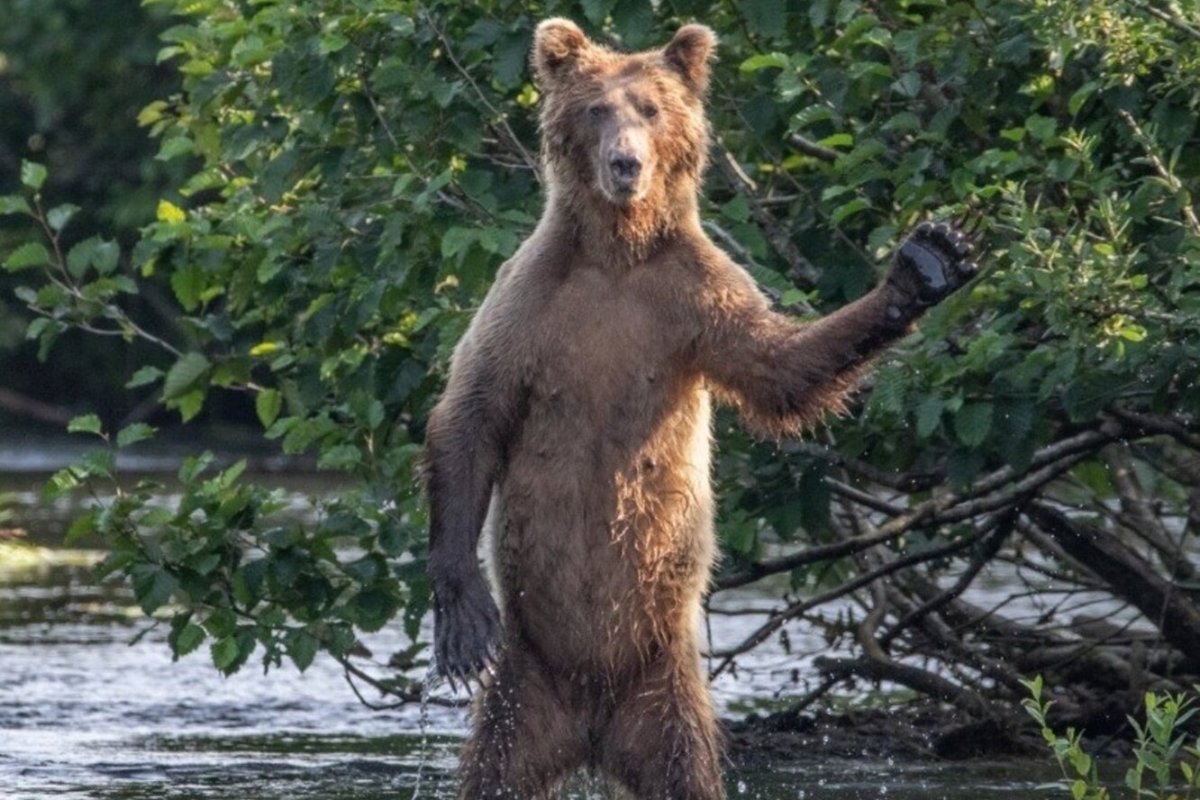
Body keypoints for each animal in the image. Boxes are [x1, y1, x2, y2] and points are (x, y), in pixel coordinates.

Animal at [422, 18, 978, 800]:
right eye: (596, 109)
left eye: (652, 108)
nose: (625, 163)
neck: (617, 257)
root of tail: (590, 727)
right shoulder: (529, 302)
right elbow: (471, 415)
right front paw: (463, 617)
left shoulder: (693, 297)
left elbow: (778, 369)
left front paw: (926, 263)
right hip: (523, 691)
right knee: (493, 770)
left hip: (666, 693)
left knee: (685, 767)